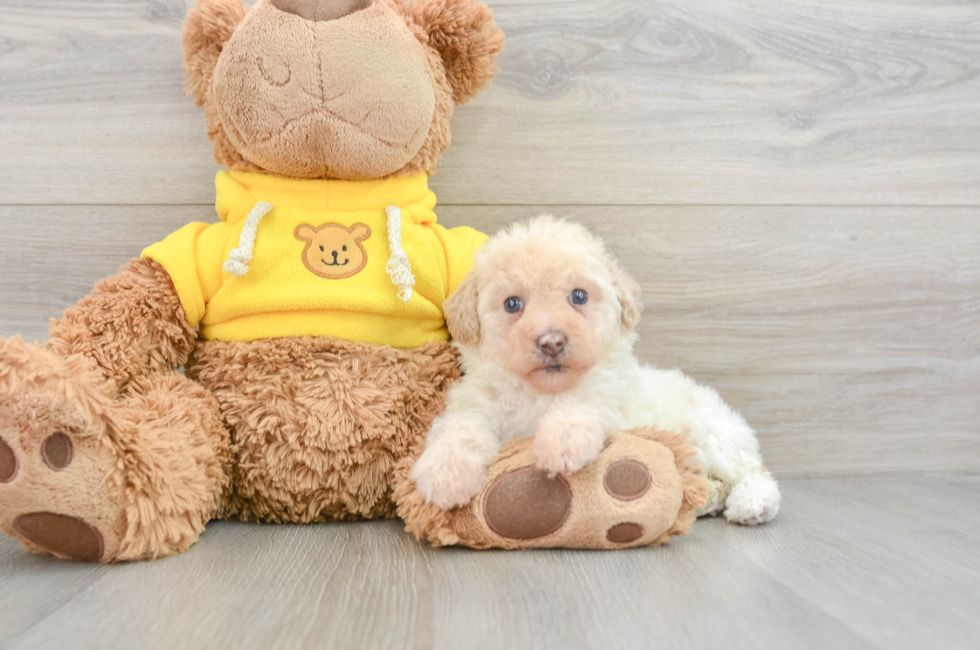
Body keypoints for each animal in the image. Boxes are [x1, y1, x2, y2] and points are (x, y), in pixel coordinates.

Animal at [414, 215, 780, 524]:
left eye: (579, 296)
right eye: (512, 304)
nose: (551, 342)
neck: (542, 392)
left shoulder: (612, 403)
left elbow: (581, 405)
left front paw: (563, 442)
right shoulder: (477, 405)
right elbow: (461, 430)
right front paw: (444, 474)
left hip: (712, 432)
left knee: (753, 469)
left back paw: (753, 504)